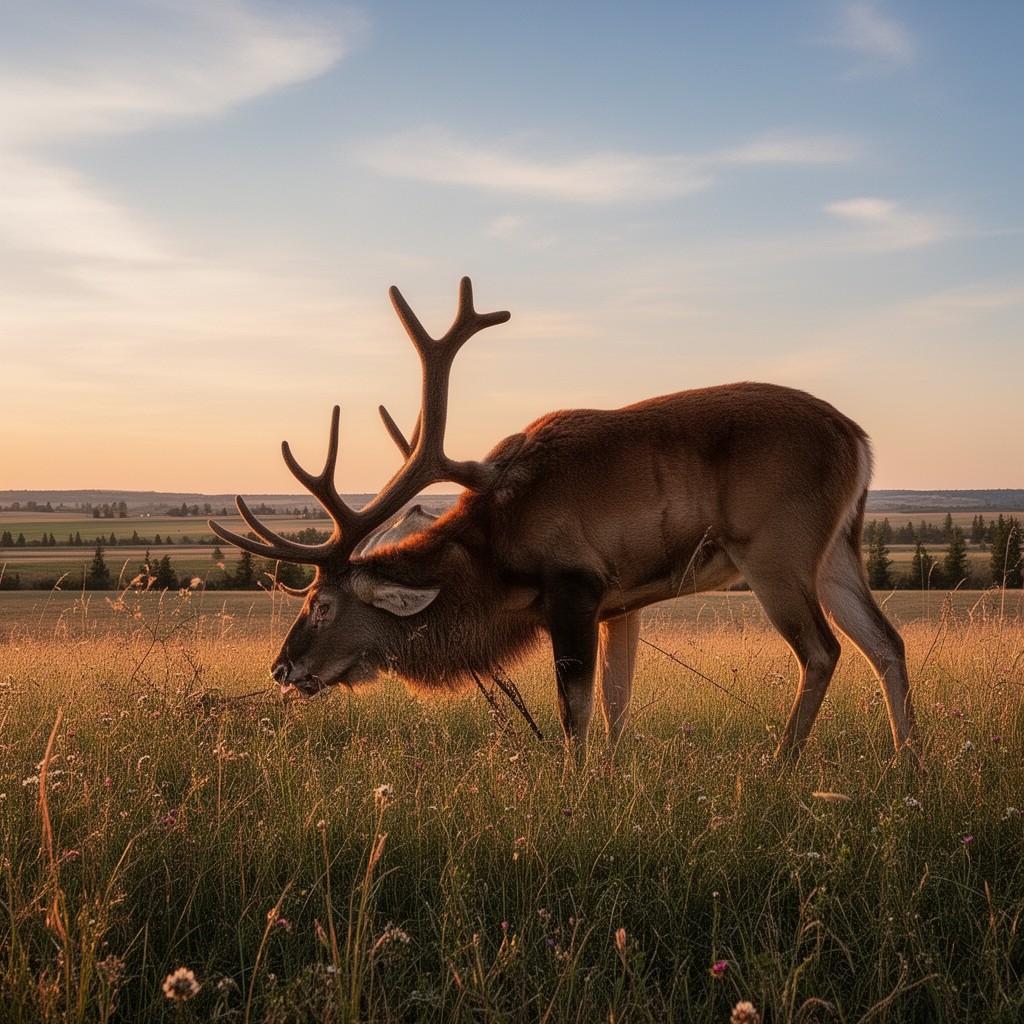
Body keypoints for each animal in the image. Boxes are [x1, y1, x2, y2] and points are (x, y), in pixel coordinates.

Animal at [210, 277, 916, 759]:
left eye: (322, 605)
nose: (281, 668)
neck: (496, 561)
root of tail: (858, 440)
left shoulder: (575, 583)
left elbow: (573, 712)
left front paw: (576, 795)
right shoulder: (622, 602)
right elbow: (615, 706)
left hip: (776, 546)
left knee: (823, 650)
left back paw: (780, 766)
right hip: (839, 548)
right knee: (886, 642)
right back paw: (908, 767)